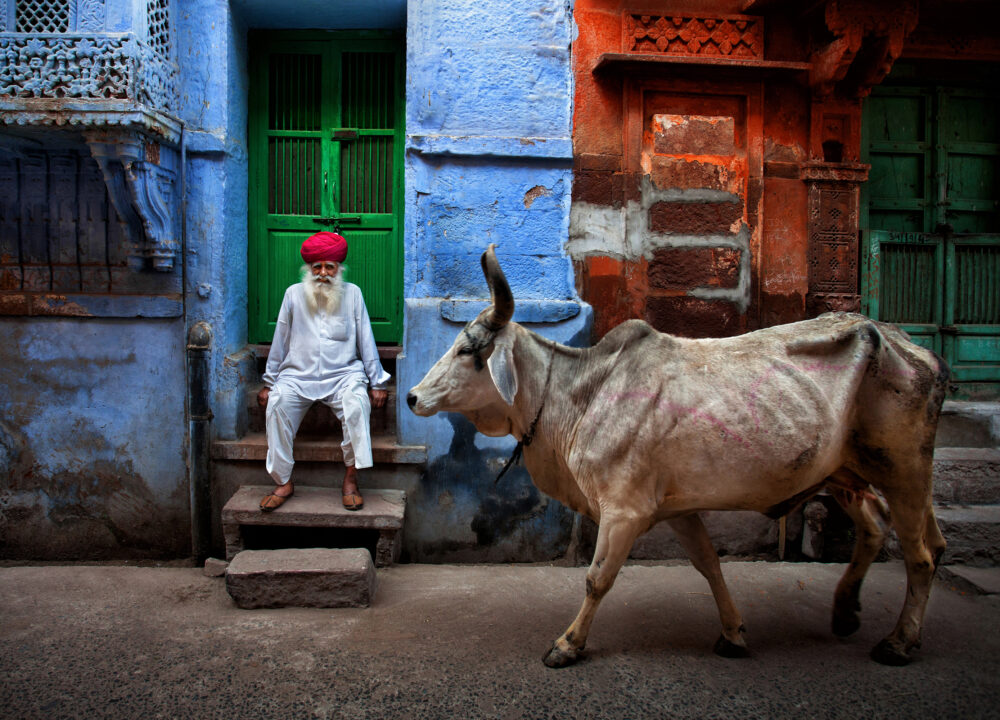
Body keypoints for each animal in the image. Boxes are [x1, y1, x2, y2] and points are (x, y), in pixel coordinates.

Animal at [407, 244, 949, 668]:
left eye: (467, 350)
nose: (412, 397)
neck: (578, 394)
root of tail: (912, 347)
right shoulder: (679, 509)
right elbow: (710, 565)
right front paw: (733, 634)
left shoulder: (624, 512)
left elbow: (597, 579)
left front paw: (568, 644)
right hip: (848, 472)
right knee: (884, 529)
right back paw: (845, 610)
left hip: (903, 469)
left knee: (921, 554)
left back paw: (899, 642)